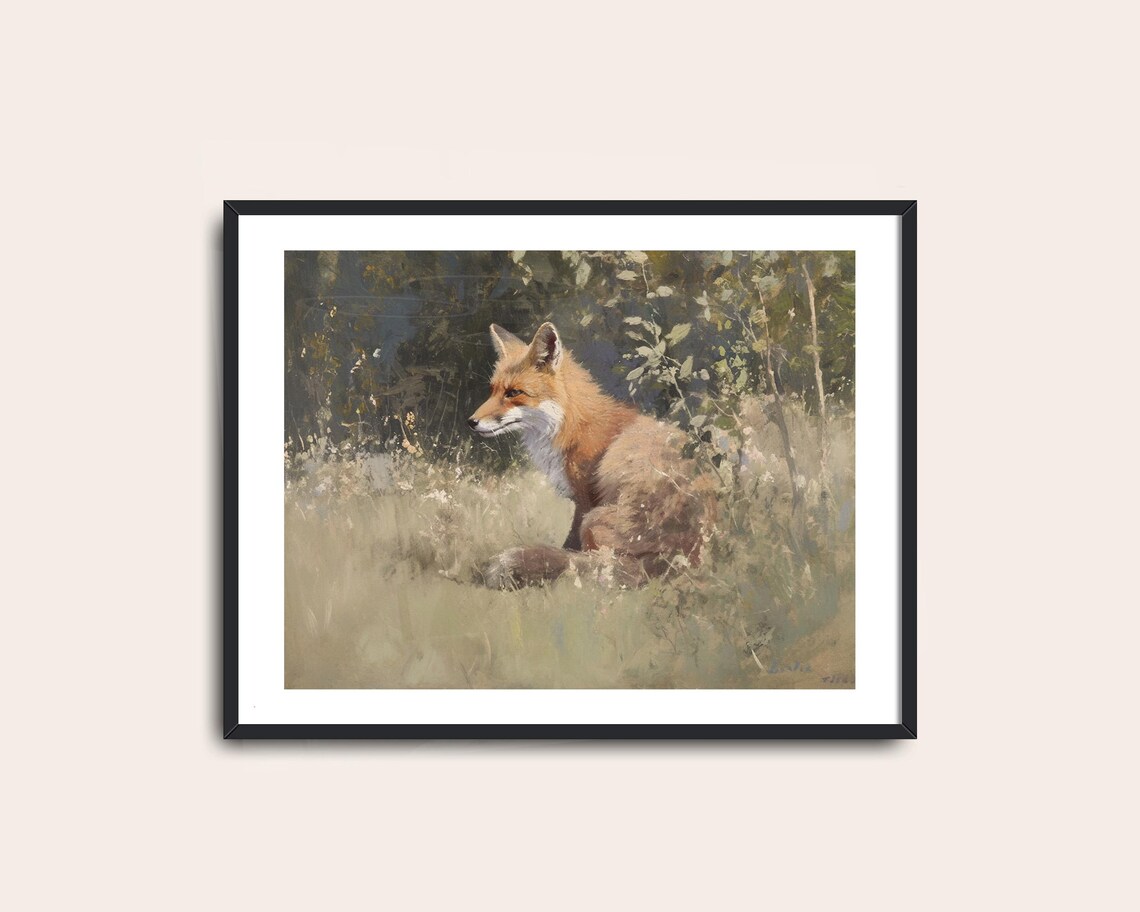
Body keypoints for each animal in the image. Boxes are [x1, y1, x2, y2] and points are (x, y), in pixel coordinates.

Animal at [468, 322, 711, 589]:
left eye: (513, 393)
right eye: (492, 391)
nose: (471, 422)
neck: (571, 426)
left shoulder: (584, 500)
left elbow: (571, 547)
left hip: (594, 522)